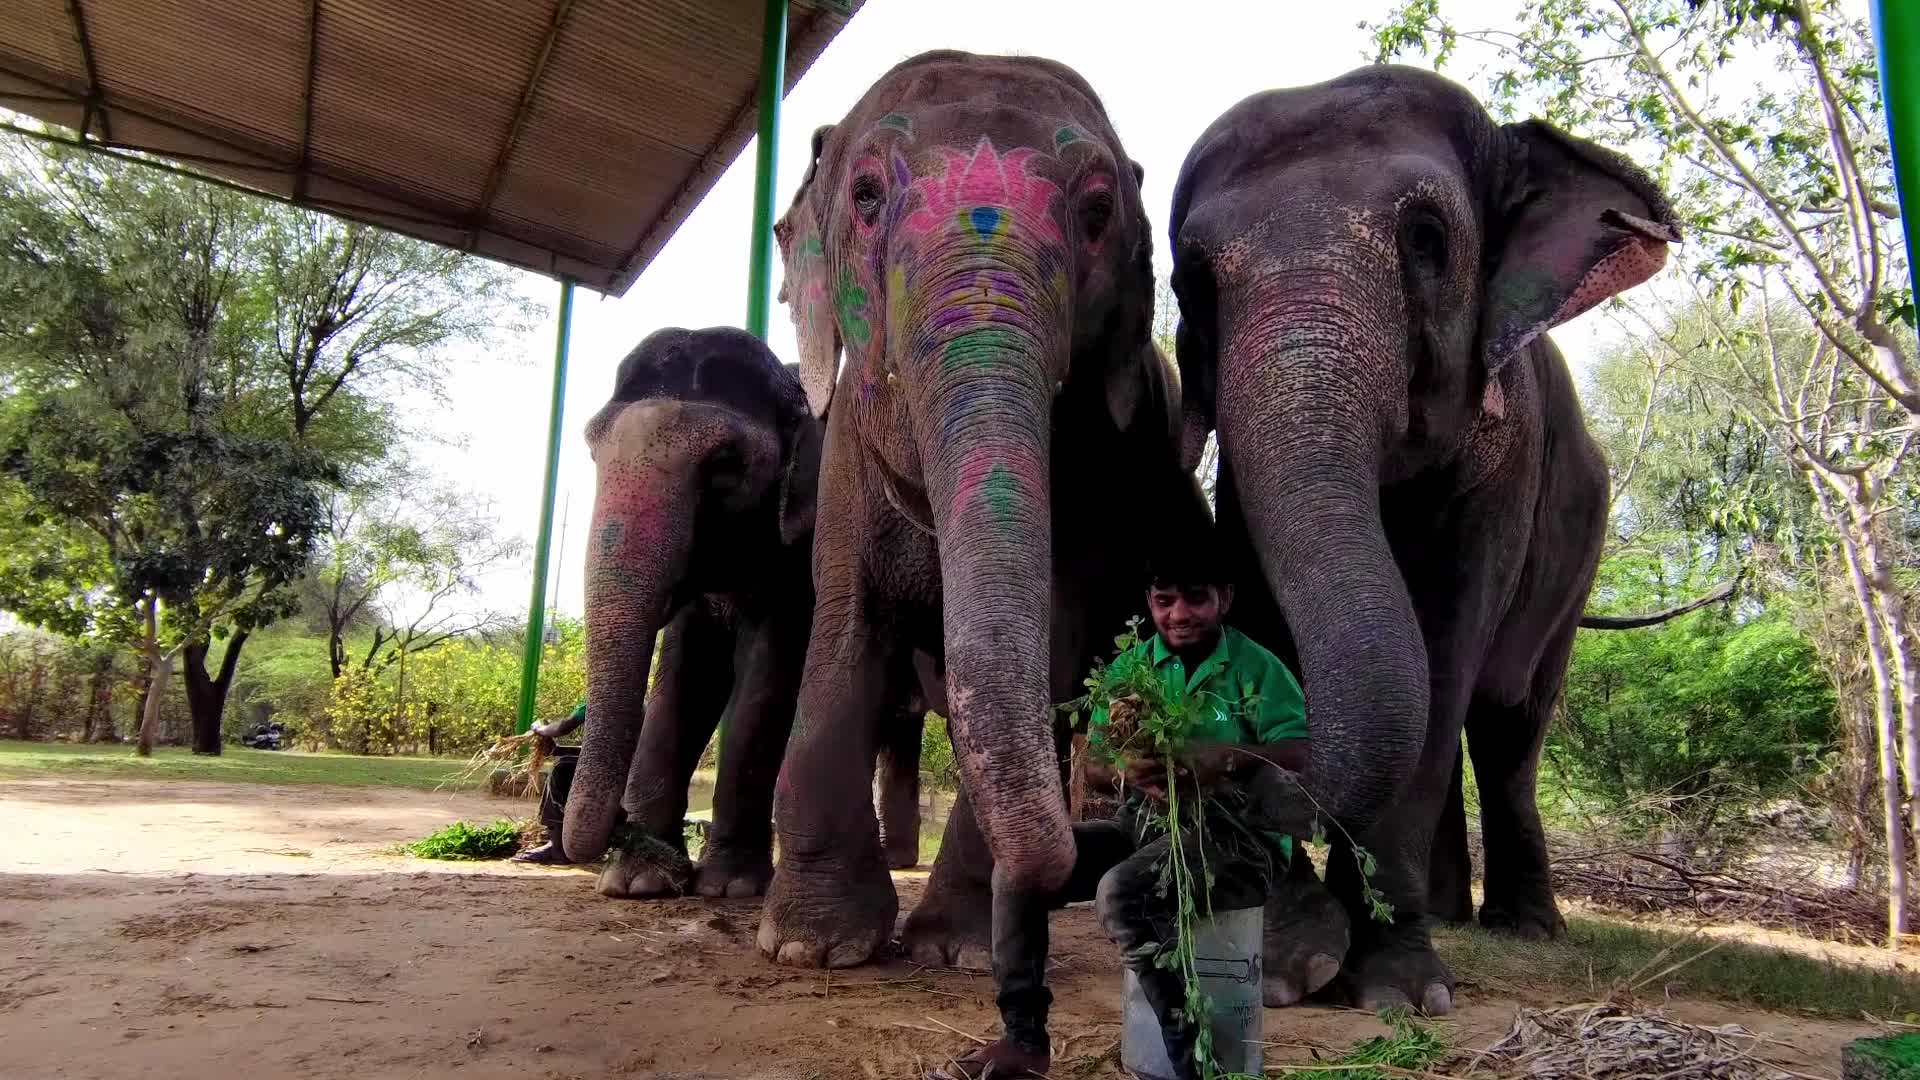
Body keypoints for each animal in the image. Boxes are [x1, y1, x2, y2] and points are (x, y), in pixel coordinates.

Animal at [560, 326, 938, 898]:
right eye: (590, 449)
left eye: (725, 464)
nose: (621, 828)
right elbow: (685, 684)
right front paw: (639, 882)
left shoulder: (804, 559)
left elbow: (764, 683)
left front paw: (729, 887)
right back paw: (895, 859)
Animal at [756, 49, 1210, 969]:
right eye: (865, 195)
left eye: (1099, 211)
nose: (1079, 865)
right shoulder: (845, 459)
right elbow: (845, 631)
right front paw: (812, 947)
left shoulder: (1108, 463)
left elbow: (1052, 642)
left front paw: (956, 951)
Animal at [1165, 65, 1680, 1013]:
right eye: (1191, 280)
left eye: (1429, 238)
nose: (1248, 770)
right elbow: (1259, 611)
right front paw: (1291, 964)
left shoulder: (1502, 474)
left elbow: (1443, 645)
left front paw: (1399, 990)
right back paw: (1450, 913)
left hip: (1577, 560)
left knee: (1508, 726)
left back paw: (1523, 926)